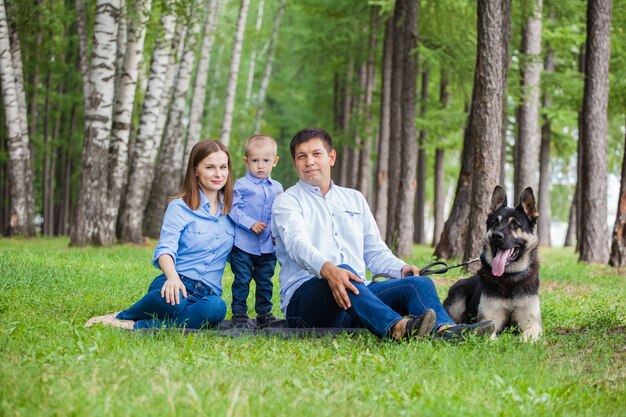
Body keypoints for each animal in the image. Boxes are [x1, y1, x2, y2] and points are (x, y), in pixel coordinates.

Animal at [442, 185, 540, 342]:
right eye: (495, 223)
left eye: (515, 225)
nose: (496, 236)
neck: (509, 277)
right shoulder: (489, 319)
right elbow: (490, 337)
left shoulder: (532, 323)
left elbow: (528, 335)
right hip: (458, 296)